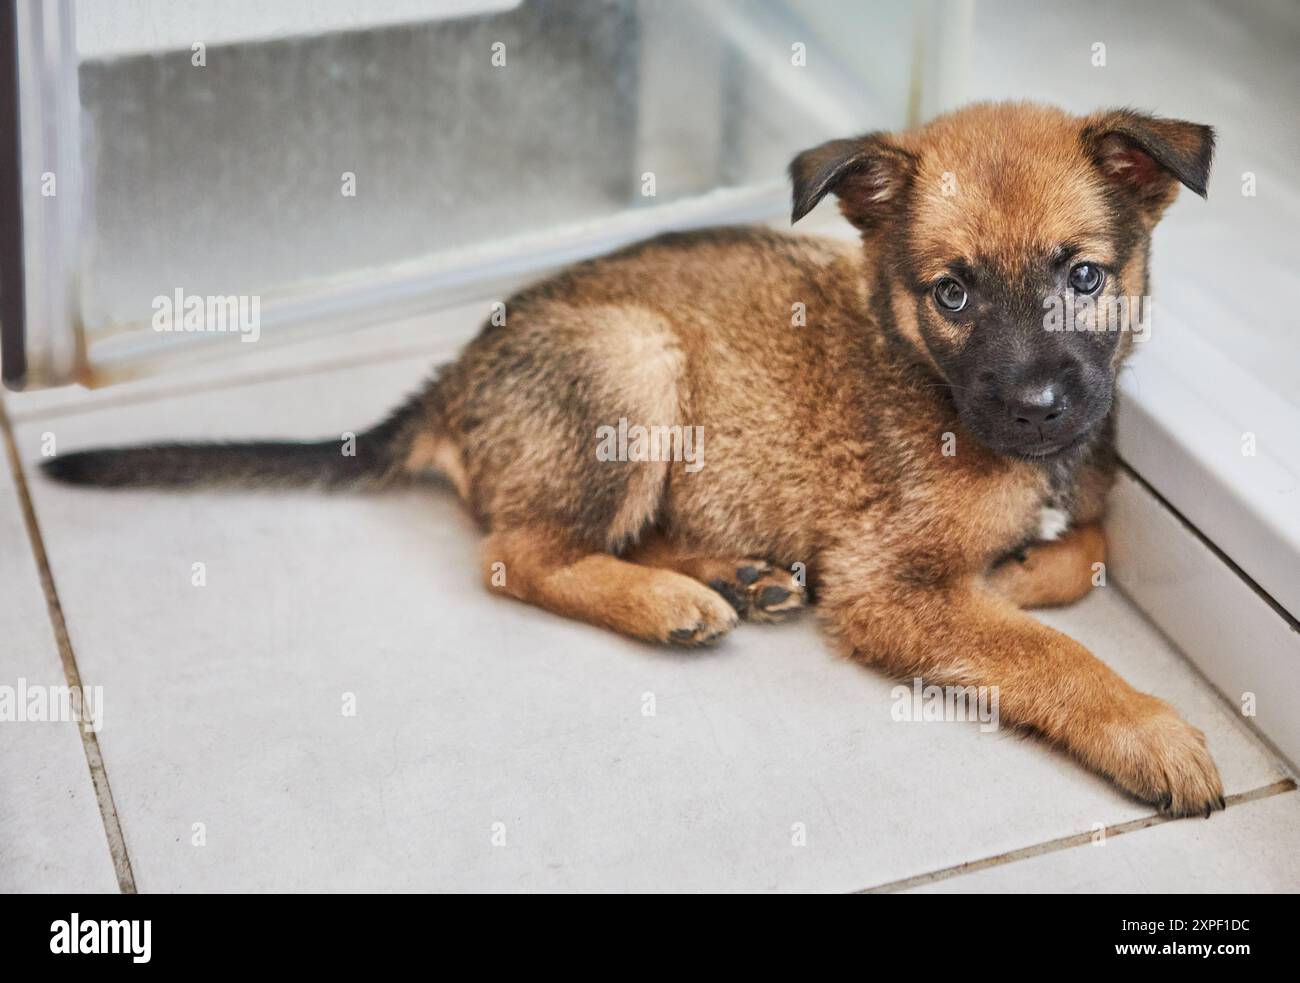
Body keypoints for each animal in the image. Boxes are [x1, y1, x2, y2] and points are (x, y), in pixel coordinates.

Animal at [45, 103, 1222, 816]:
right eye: (952, 292)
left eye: (1082, 275)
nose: (1034, 409)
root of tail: (454, 376)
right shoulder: (889, 582)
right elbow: (1051, 654)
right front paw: (1148, 729)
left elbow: (1091, 543)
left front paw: (1022, 569)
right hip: (635, 359)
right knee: (517, 553)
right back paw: (668, 601)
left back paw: (725, 575)